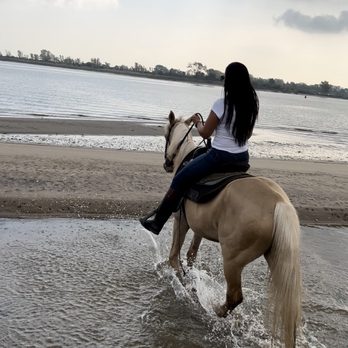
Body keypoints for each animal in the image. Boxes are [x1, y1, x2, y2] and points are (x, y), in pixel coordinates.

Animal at [163, 111, 302, 348]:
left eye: (166, 135)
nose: (167, 164)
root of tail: (279, 202)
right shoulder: (199, 227)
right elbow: (191, 253)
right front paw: (190, 275)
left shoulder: (181, 220)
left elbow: (175, 255)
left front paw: (179, 278)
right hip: (276, 258)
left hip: (233, 260)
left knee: (234, 297)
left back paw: (212, 309)